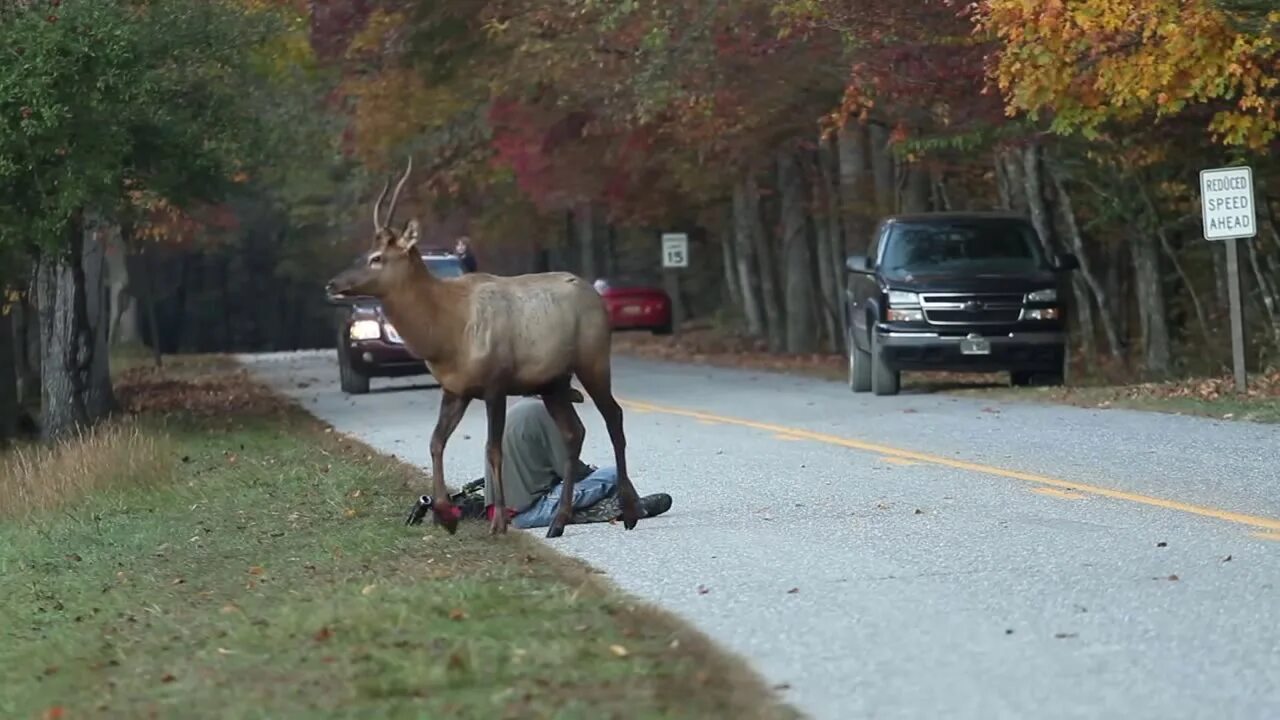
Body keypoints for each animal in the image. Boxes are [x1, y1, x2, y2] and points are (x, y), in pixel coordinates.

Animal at [320, 158, 640, 538]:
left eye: (377, 257)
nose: (332, 284)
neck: (445, 334)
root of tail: (596, 296)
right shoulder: (456, 388)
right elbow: (436, 441)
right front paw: (444, 514)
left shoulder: (495, 382)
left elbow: (492, 449)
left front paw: (498, 521)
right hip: (553, 381)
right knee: (573, 432)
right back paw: (559, 521)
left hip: (593, 358)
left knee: (613, 417)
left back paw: (629, 512)